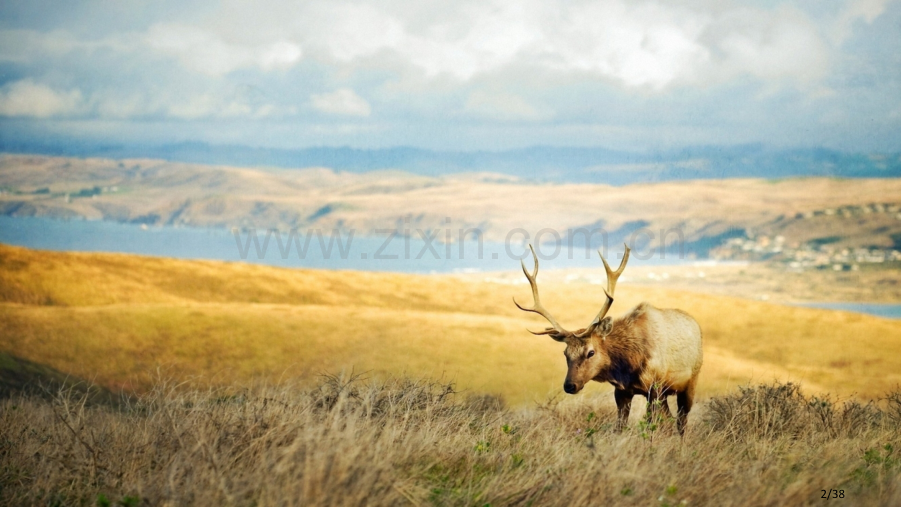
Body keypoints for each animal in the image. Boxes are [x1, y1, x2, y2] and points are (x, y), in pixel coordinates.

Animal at [512, 246, 700, 436]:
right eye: (565, 353)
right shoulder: (622, 391)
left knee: (681, 422)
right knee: (670, 419)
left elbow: (650, 426)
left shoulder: (654, 388)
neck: (628, 364)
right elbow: (620, 427)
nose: (570, 385)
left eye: (591, 352)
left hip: (690, 382)